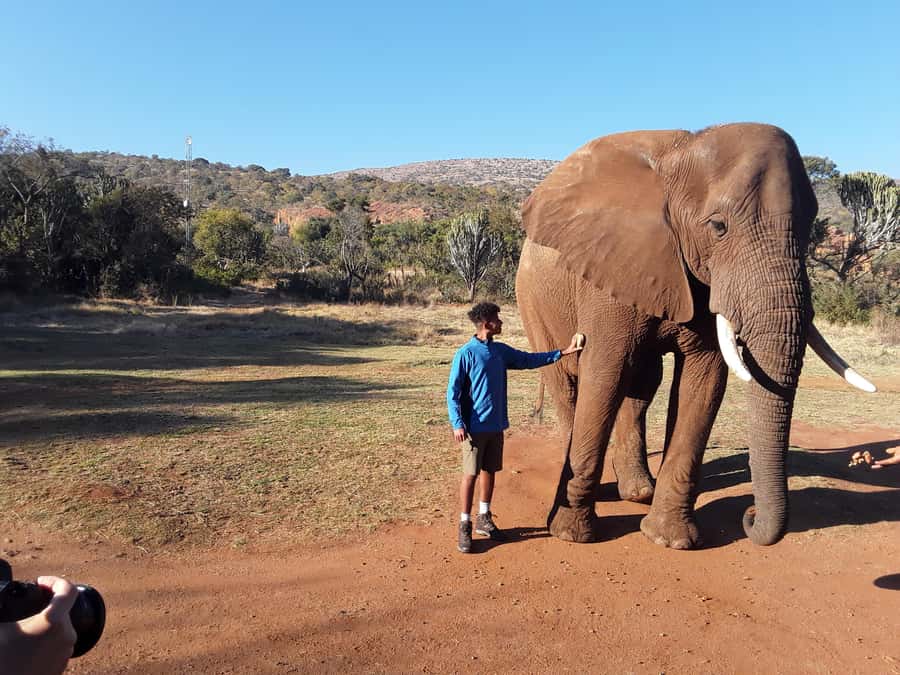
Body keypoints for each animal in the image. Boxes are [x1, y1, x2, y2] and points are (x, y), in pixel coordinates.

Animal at [515, 123, 876, 548]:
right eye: (718, 227)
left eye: (808, 230)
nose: (749, 516)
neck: (683, 150)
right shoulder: (608, 271)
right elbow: (605, 371)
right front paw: (572, 535)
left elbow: (702, 381)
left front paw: (670, 540)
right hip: (532, 301)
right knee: (570, 385)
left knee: (642, 385)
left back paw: (639, 492)